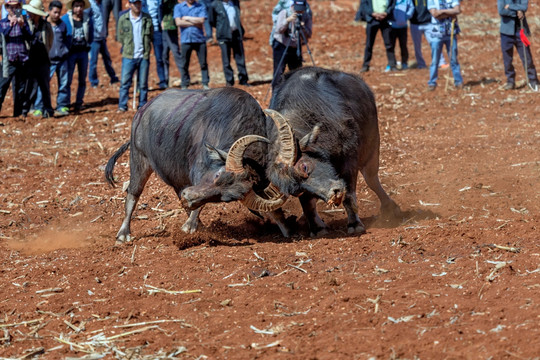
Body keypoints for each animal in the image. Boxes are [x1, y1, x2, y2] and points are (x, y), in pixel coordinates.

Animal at [106, 88, 292, 243]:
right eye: (218, 175)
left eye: (225, 198)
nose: (188, 198)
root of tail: (142, 110)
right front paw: (189, 226)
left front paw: (286, 229)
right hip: (139, 159)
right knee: (133, 194)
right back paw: (123, 234)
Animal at [266, 67, 400, 236]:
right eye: (297, 190)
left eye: (304, 166)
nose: (333, 194)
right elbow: (307, 203)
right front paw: (317, 228)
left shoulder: (350, 158)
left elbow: (349, 194)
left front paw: (354, 224)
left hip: (372, 144)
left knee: (371, 179)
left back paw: (390, 208)